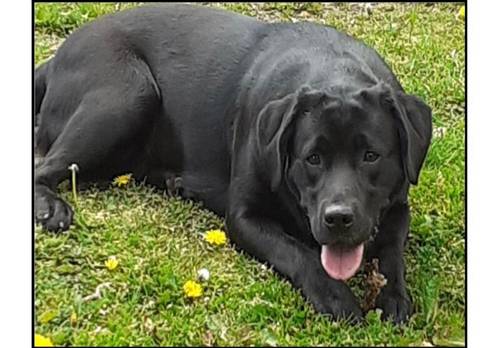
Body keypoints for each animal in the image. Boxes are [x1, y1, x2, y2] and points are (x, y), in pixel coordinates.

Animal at [35, 3, 432, 324]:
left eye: (371, 156)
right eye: (313, 158)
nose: (338, 219)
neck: (334, 71)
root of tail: (56, 56)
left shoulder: (398, 206)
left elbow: (392, 252)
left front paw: (394, 297)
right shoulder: (244, 217)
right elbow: (296, 252)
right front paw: (334, 296)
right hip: (128, 94)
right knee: (44, 166)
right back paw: (50, 207)